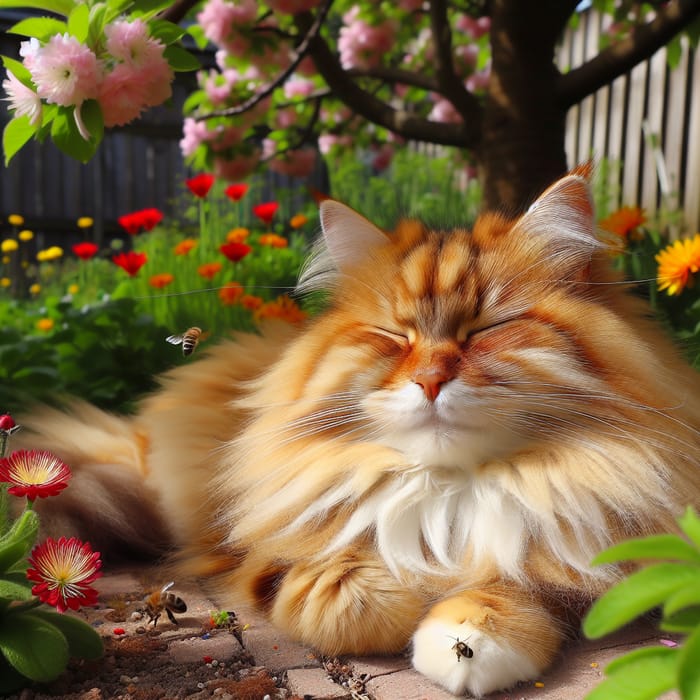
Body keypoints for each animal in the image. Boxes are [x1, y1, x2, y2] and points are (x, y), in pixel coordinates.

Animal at [17, 171, 700, 696]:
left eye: (487, 330)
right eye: (394, 336)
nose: (429, 380)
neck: (449, 491)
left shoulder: (584, 552)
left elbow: (516, 588)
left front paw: (465, 634)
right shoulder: (262, 554)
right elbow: (347, 592)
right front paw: (415, 594)